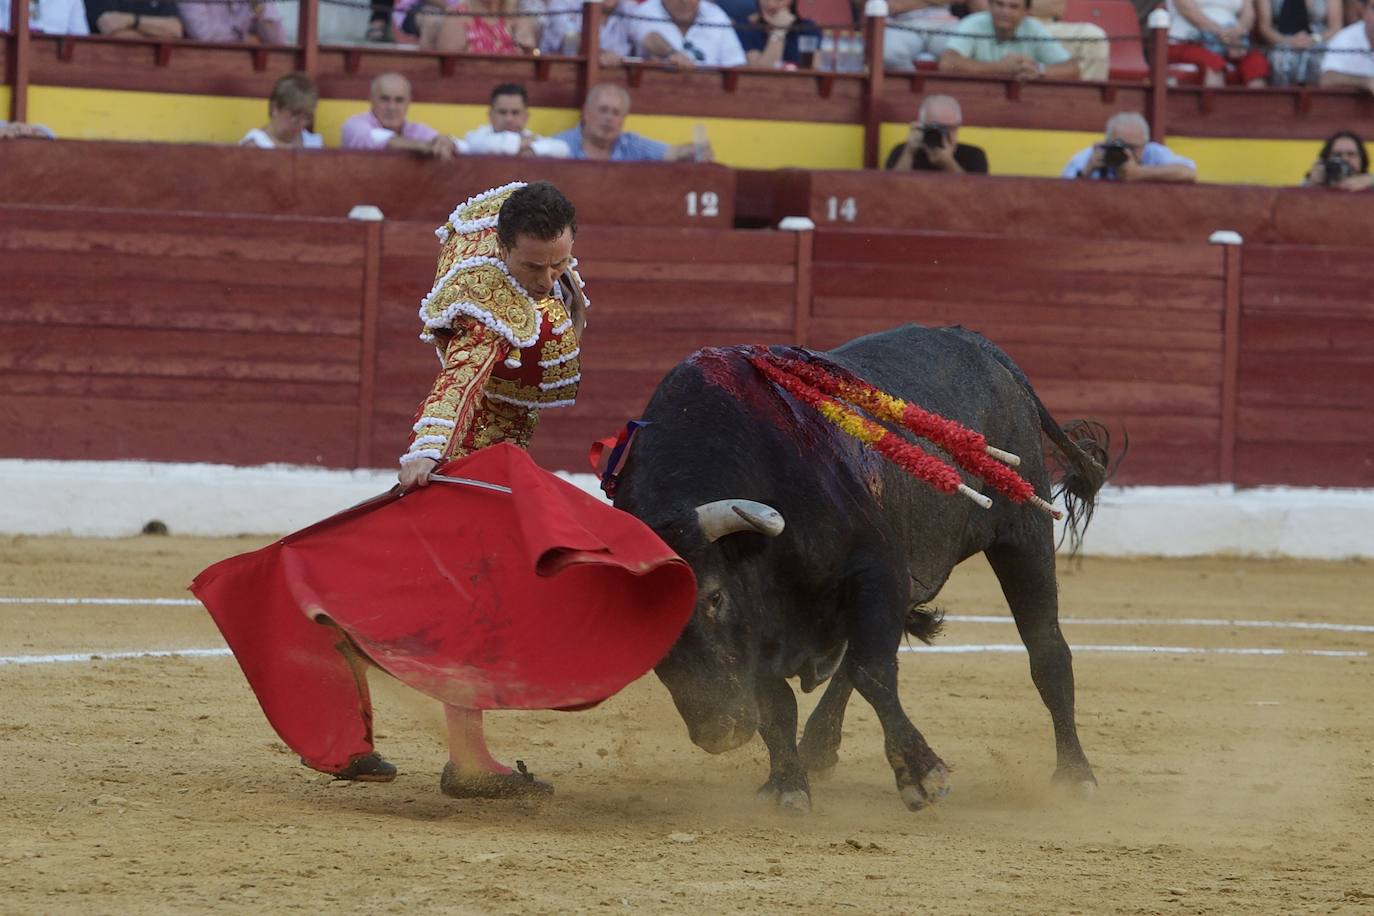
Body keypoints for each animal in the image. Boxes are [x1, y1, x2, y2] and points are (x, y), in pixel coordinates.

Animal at [615, 325, 1115, 813]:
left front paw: (922, 775)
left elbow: (872, 672)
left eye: (715, 596)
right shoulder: (762, 629)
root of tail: (975, 341)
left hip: (1023, 531)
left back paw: (1076, 776)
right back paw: (817, 748)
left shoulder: (875, 571)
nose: (719, 731)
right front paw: (786, 785)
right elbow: (780, 701)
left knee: (1046, 649)